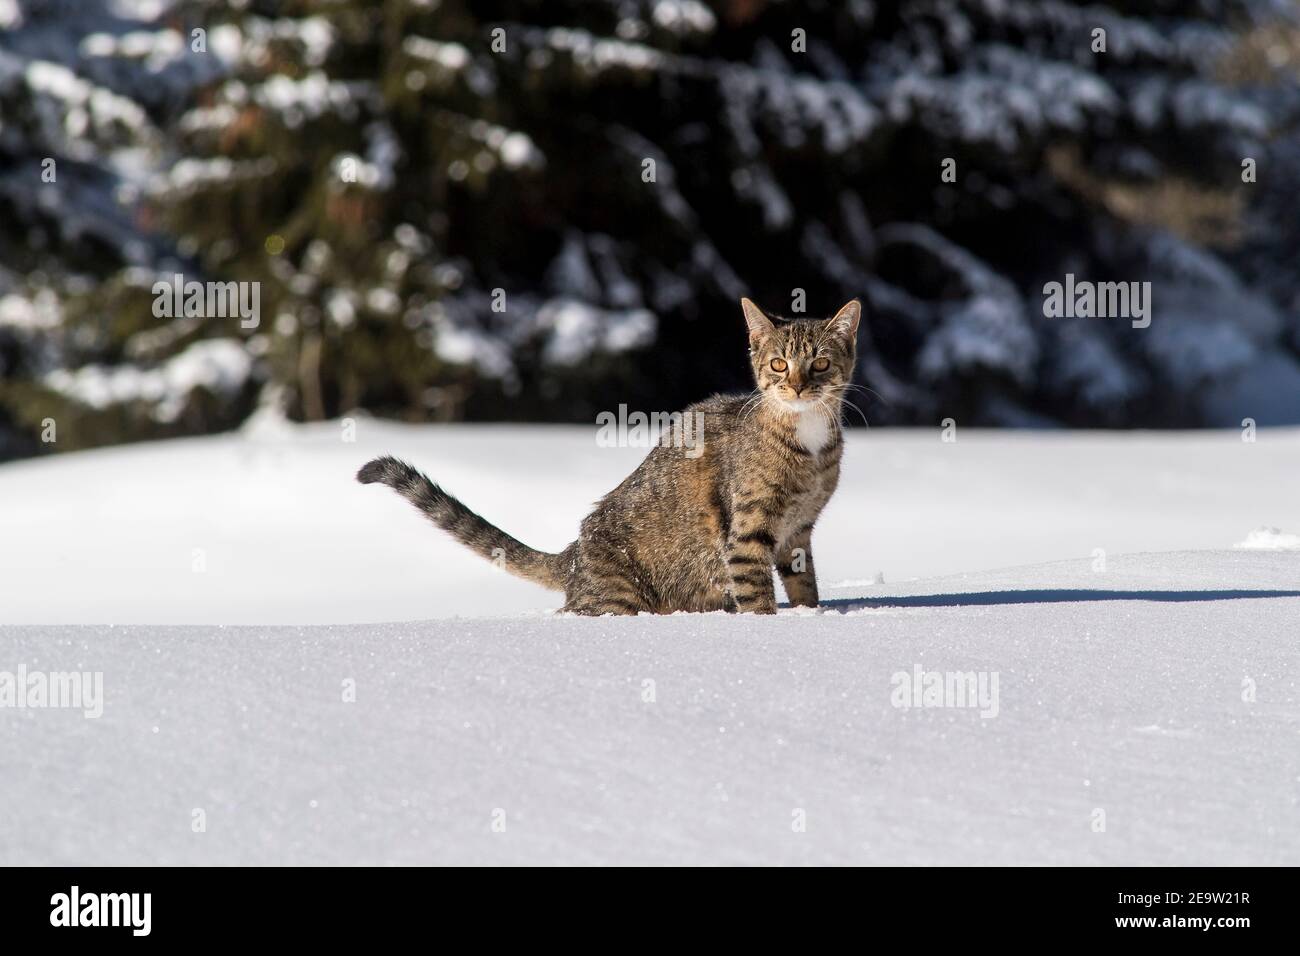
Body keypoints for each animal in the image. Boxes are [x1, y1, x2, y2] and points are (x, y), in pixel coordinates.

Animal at [358, 295, 863, 616]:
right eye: (779, 364)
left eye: (820, 363)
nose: (797, 386)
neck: (807, 441)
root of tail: (573, 554)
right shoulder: (747, 531)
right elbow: (757, 597)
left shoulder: (798, 531)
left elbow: (804, 586)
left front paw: (810, 617)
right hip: (621, 597)